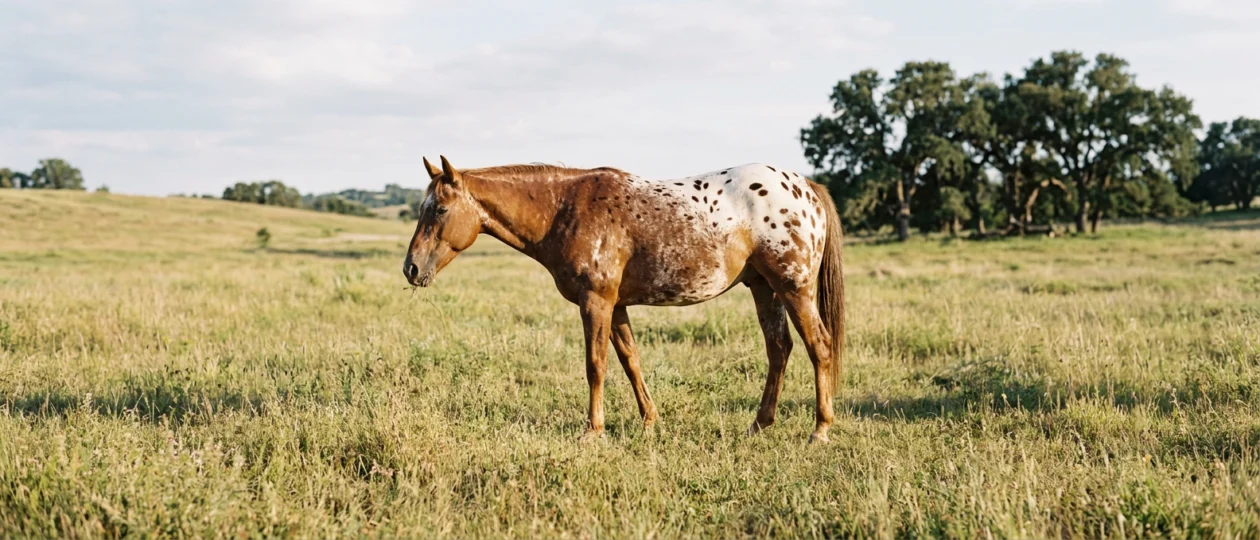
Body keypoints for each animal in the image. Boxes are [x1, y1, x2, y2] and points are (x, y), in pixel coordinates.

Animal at [403, 156, 844, 443]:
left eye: (439, 209)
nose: (410, 267)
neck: (564, 209)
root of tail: (806, 187)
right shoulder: (616, 306)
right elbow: (631, 361)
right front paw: (649, 421)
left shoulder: (596, 302)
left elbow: (595, 366)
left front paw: (592, 431)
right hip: (764, 288)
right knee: (779, 349)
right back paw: (759, 425)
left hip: (793, 287)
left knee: (819, 347)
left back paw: (820, 430)